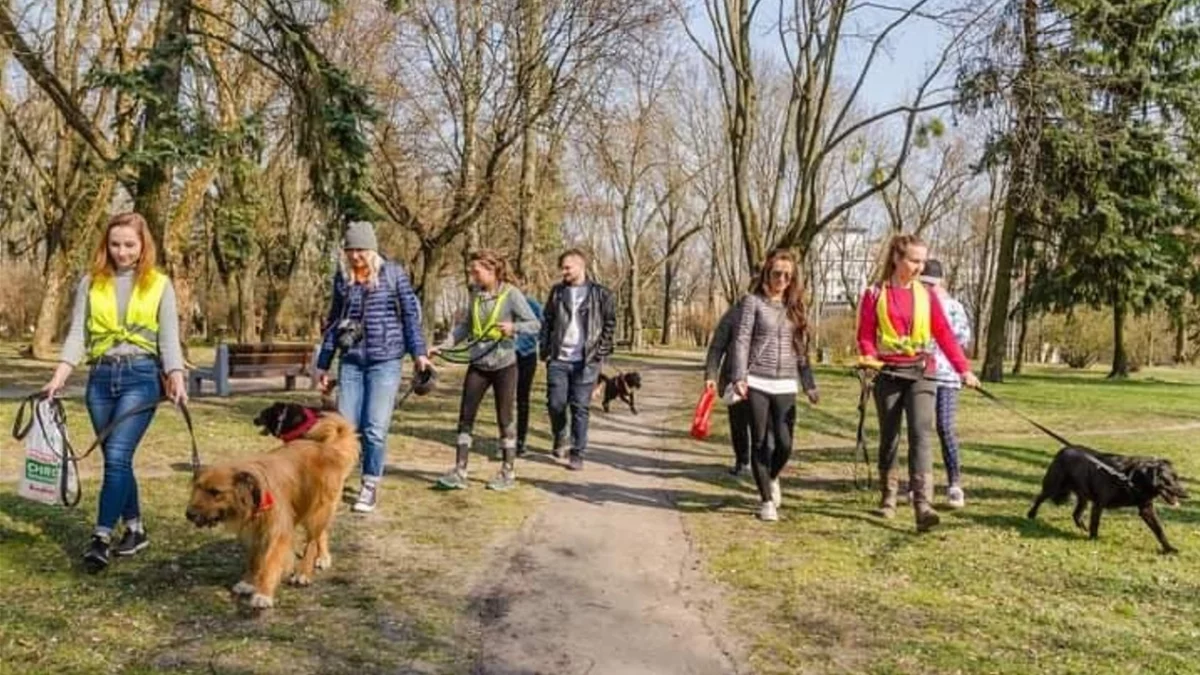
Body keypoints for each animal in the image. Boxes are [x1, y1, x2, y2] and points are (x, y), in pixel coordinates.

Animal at [184, 413, 357, 607]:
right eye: (197, 488)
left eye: (215, 492)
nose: (189, 514)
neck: (254, 494)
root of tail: (327, 448)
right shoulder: (253, 531)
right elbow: (254, 560)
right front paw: (248, 582)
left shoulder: (277, 532)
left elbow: (271, 563)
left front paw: (263, 593)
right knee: (322, 533)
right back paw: (323, 557)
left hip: (317, 510)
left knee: (312, 541)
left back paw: (304, 571)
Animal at [1027, 444, 1185, 550]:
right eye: (1170, 481)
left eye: (1177, 478)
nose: (1186, 494)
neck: (1132, 478)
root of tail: (1063, 449)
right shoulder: (1099, 503)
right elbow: (1095, 523)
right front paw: (1094, 539)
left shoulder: (1146, 509)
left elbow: (1159, 529)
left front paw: (1169, 548)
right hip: (1054, 486)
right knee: (1040, 498)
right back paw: (1031, 515)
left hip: (1083, 496)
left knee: (1076, 513)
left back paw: (1082, 527)